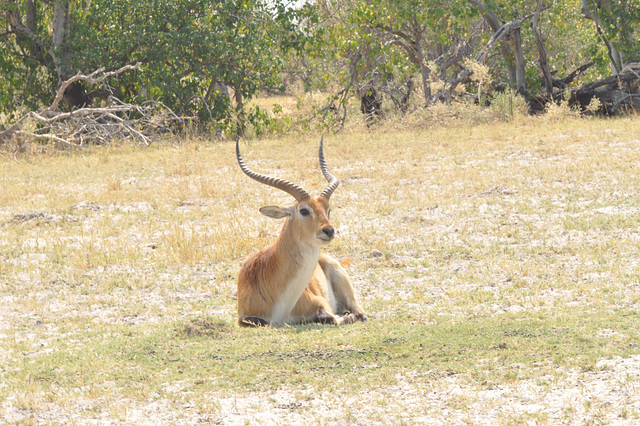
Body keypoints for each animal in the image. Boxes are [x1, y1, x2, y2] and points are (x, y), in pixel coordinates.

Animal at [235, 137, 368, 326]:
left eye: (328, 210)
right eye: (304, 210)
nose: (329, 230)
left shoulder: (320, 302)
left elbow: (331, 317)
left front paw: (347, 317)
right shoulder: (244, 318)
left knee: (357, 308)